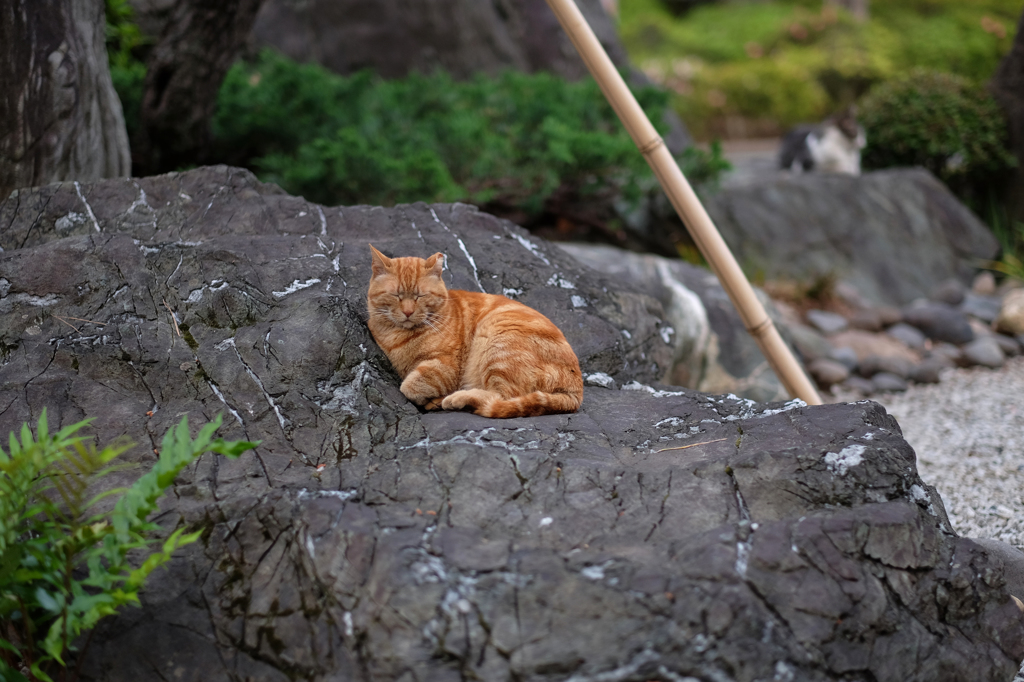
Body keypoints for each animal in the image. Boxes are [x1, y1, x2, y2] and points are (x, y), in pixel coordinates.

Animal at [366, 241, 585, 417]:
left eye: (420, 296)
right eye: (396, 295)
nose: (408, 312)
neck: (398, 336)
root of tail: (577, 391)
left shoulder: (446, 367)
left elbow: (409, 386)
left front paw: (429, 398)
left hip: (497, 346)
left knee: (501, 398)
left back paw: (456, 399)